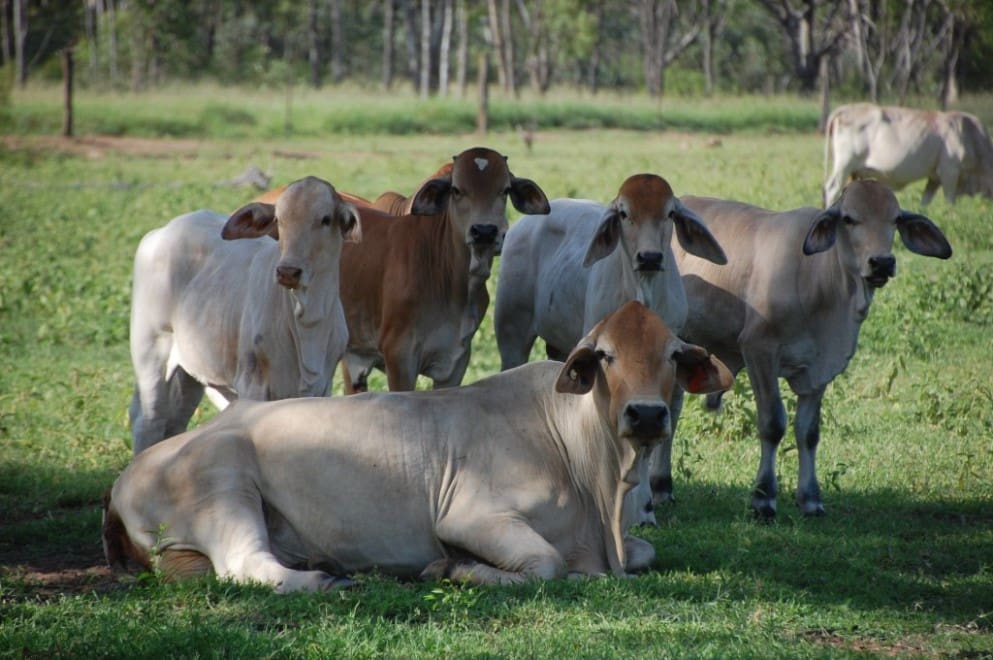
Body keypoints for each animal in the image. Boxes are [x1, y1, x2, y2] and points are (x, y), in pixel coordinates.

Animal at [102, 302, 736, 592]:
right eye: (604, 355)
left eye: (674, 355)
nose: (647, 414)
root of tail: (126, 477)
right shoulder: (470, 516)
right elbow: (547, 564)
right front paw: (454, 568)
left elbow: (645, 553)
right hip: (225, 487)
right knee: (246, 565)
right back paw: (324, 580)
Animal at [676, 182, 952, 520]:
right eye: (848, 218)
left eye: (896, 219)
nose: (882, 263)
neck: (820, 280)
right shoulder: (759, 351)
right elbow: (772, 423)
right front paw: (764, 498)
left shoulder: (820, 370)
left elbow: (808, 432)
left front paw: (810, 498)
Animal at [820, 103, 992, 205]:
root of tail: (844, 109)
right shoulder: (949, 171)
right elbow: (950, 202)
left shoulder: (934, 178)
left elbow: (925, 202)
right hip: (844, 165)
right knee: (831, 189)